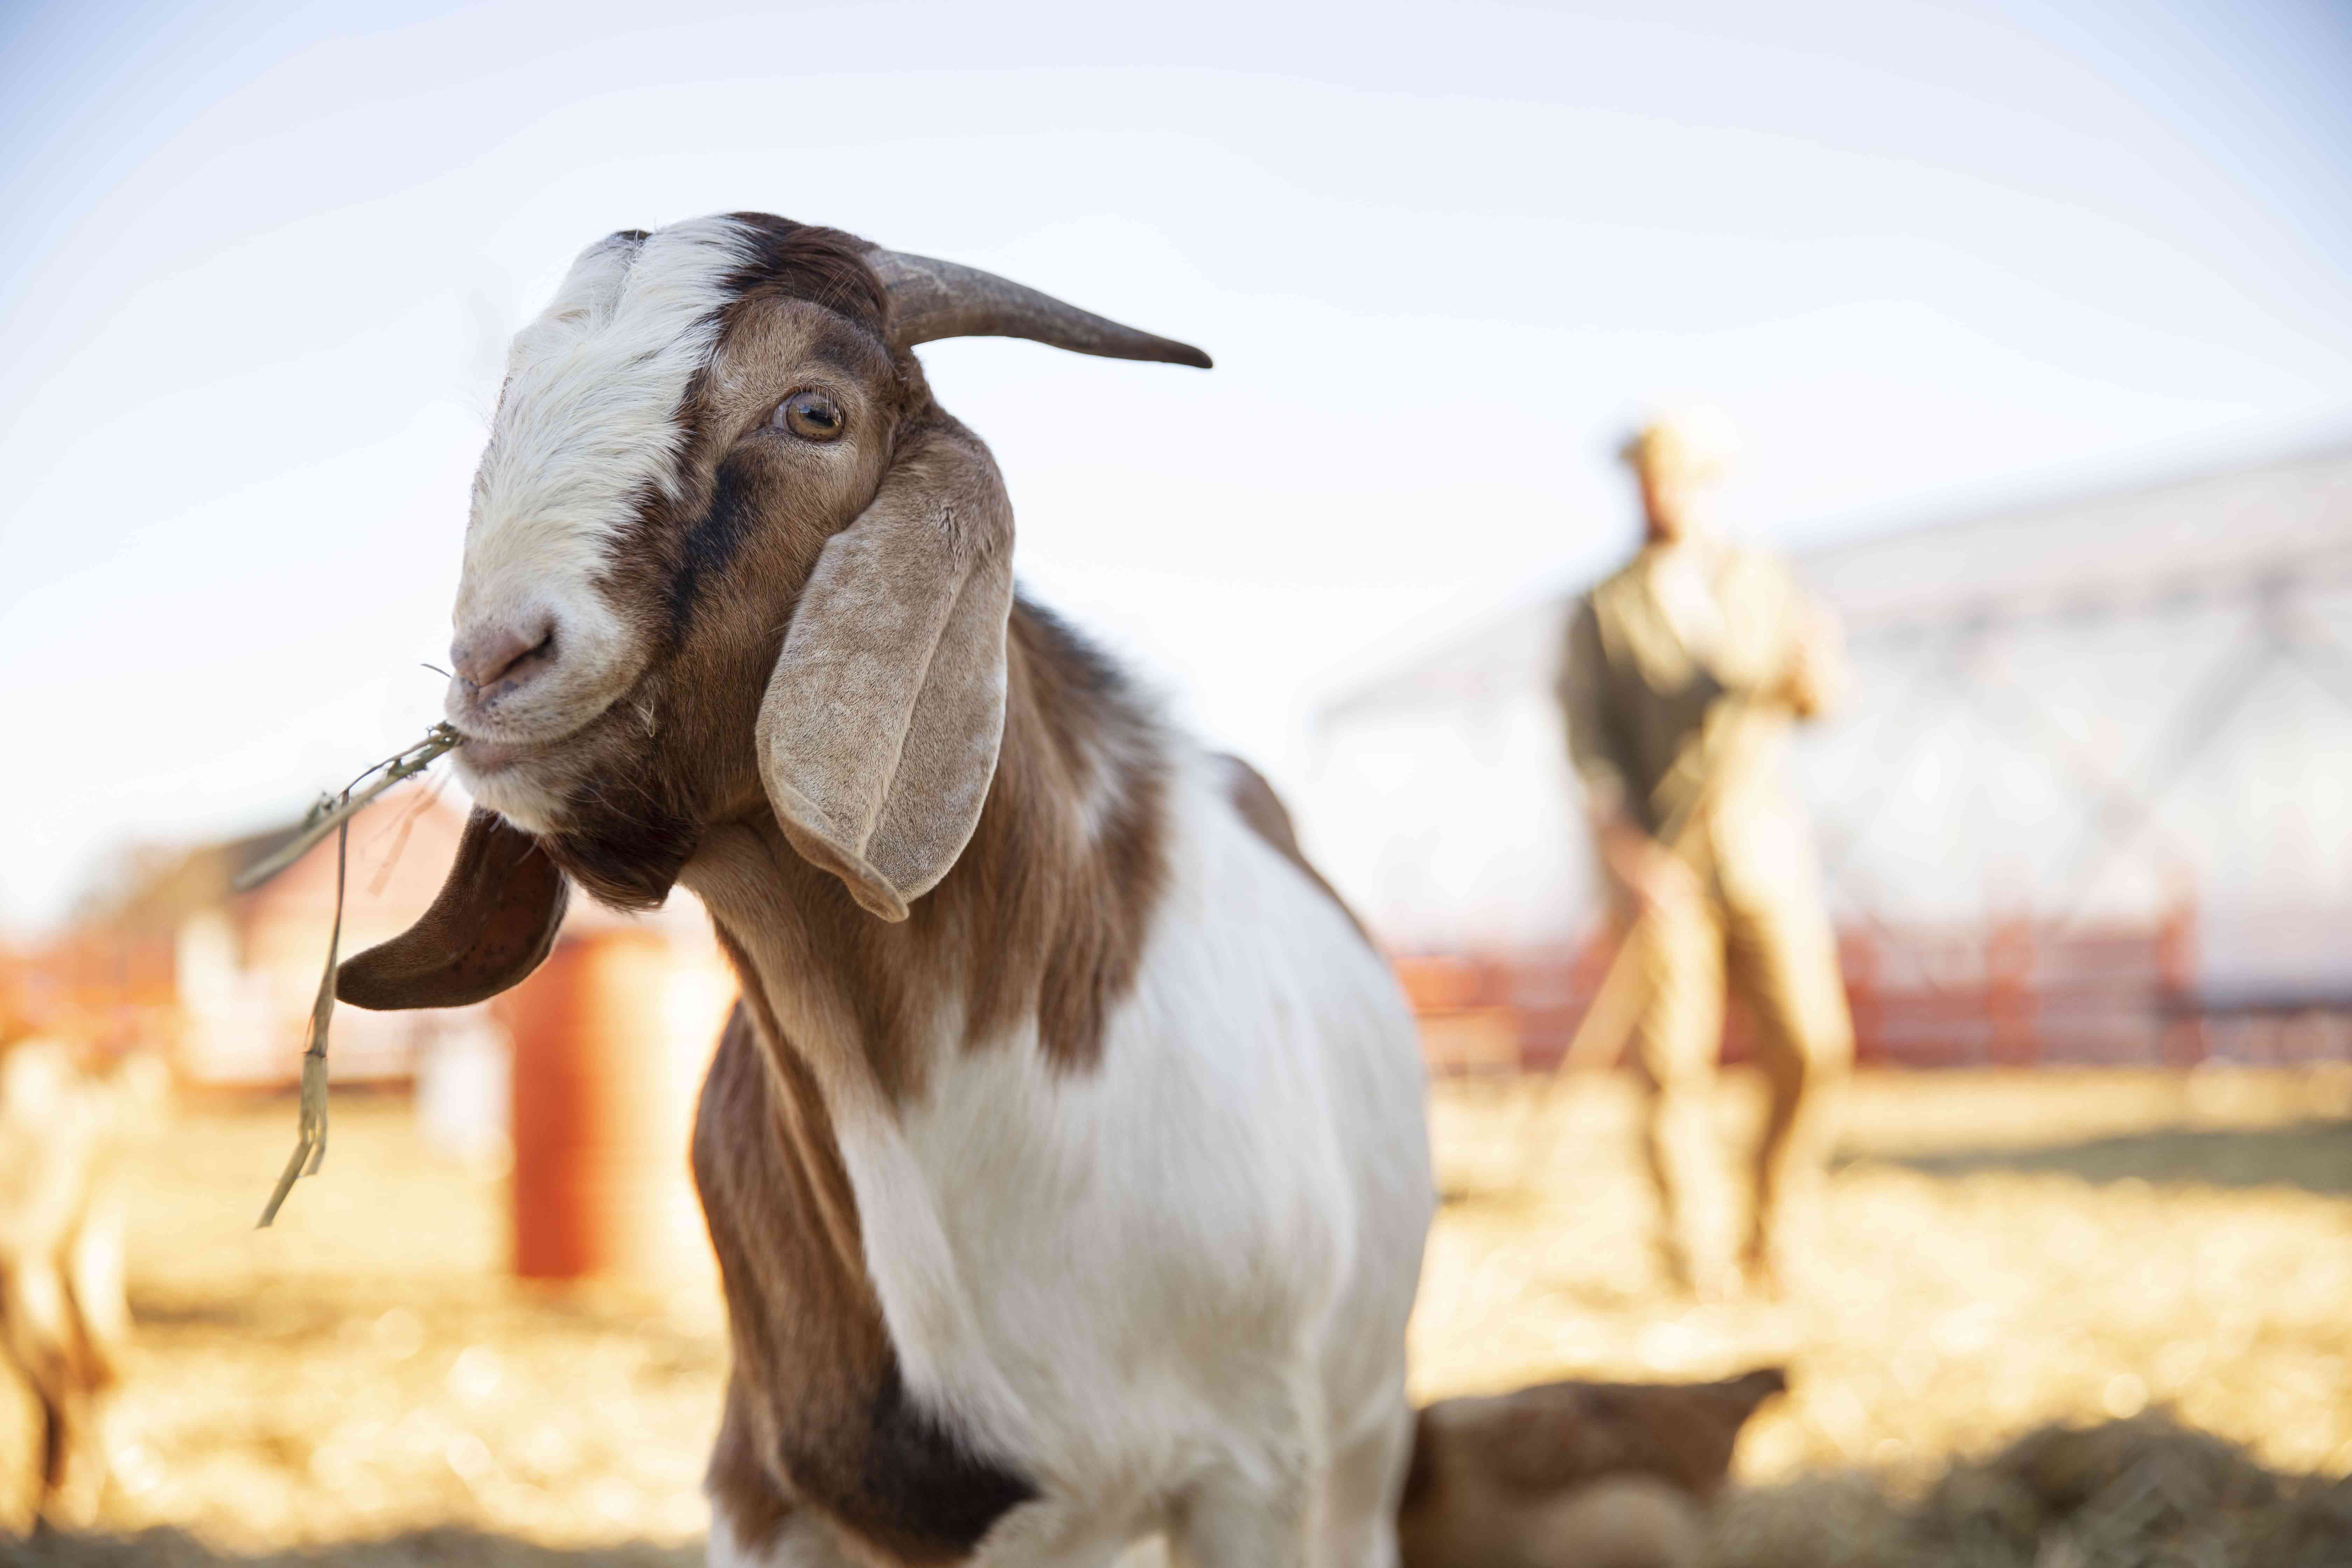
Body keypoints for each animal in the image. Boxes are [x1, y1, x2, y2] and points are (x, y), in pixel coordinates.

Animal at [336, 217, 1430, 1568]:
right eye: (513, 401)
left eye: (815, 411)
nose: (495, 660)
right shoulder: (763, 1483)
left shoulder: (1252, 1472)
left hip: (1361, 1434)